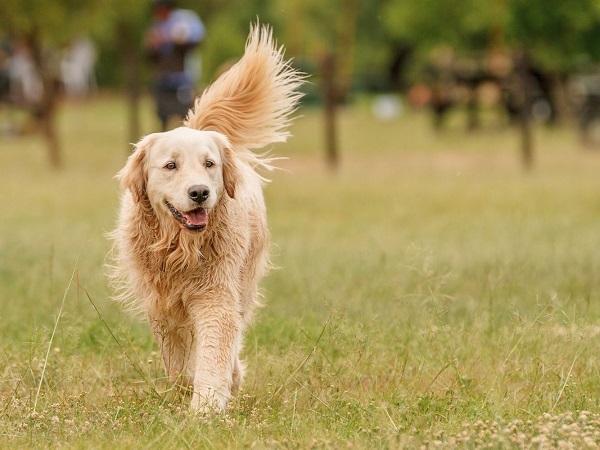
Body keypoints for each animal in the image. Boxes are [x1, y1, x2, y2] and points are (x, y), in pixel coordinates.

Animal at [108, 24, 302, 412]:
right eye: (170, 165)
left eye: (209, 164)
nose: (199, 192)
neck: (180, 246)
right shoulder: (162, 304)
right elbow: (178, 360)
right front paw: (188, 392)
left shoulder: (216, 294)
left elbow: (214, 350)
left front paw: (208, 405)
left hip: (244, 281)